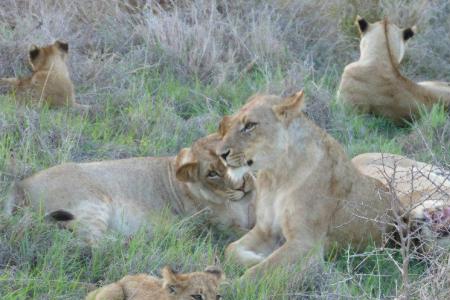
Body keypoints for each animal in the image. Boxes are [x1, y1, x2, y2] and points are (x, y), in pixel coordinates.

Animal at [5, 135, 255, 245]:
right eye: (212, 173)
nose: (243, 186)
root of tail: (21, 185)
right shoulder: (220, 229)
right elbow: (247, 236)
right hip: (93, 202)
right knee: (92, 242)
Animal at [217, 91, 446, 276]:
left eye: (250, 125)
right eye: (231, 123)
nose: (221, 154)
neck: (277, 175)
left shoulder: (306, 243)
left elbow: (258, 273)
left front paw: (236, 284)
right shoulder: (265, 229)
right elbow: (230, 250)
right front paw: (255, 258)